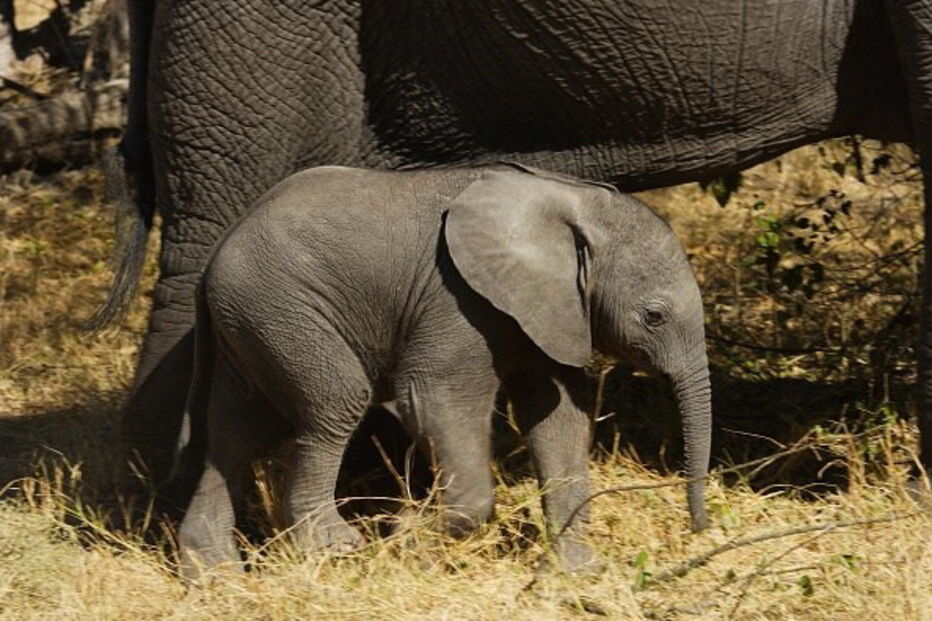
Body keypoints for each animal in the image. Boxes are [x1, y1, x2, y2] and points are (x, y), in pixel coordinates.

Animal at [174, 164, 712, 575]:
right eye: (654, 316)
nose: (699, 532)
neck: (573, 201)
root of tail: (214, 258)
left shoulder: (550, 311)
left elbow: (560, 417)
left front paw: (577, 573)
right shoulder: (457, 300)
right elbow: (434, 399)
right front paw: (409, 540)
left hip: (250, 320)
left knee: (237, 432)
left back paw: (214, 574)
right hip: (281, 308)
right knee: (335, 402)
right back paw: (334, 546)